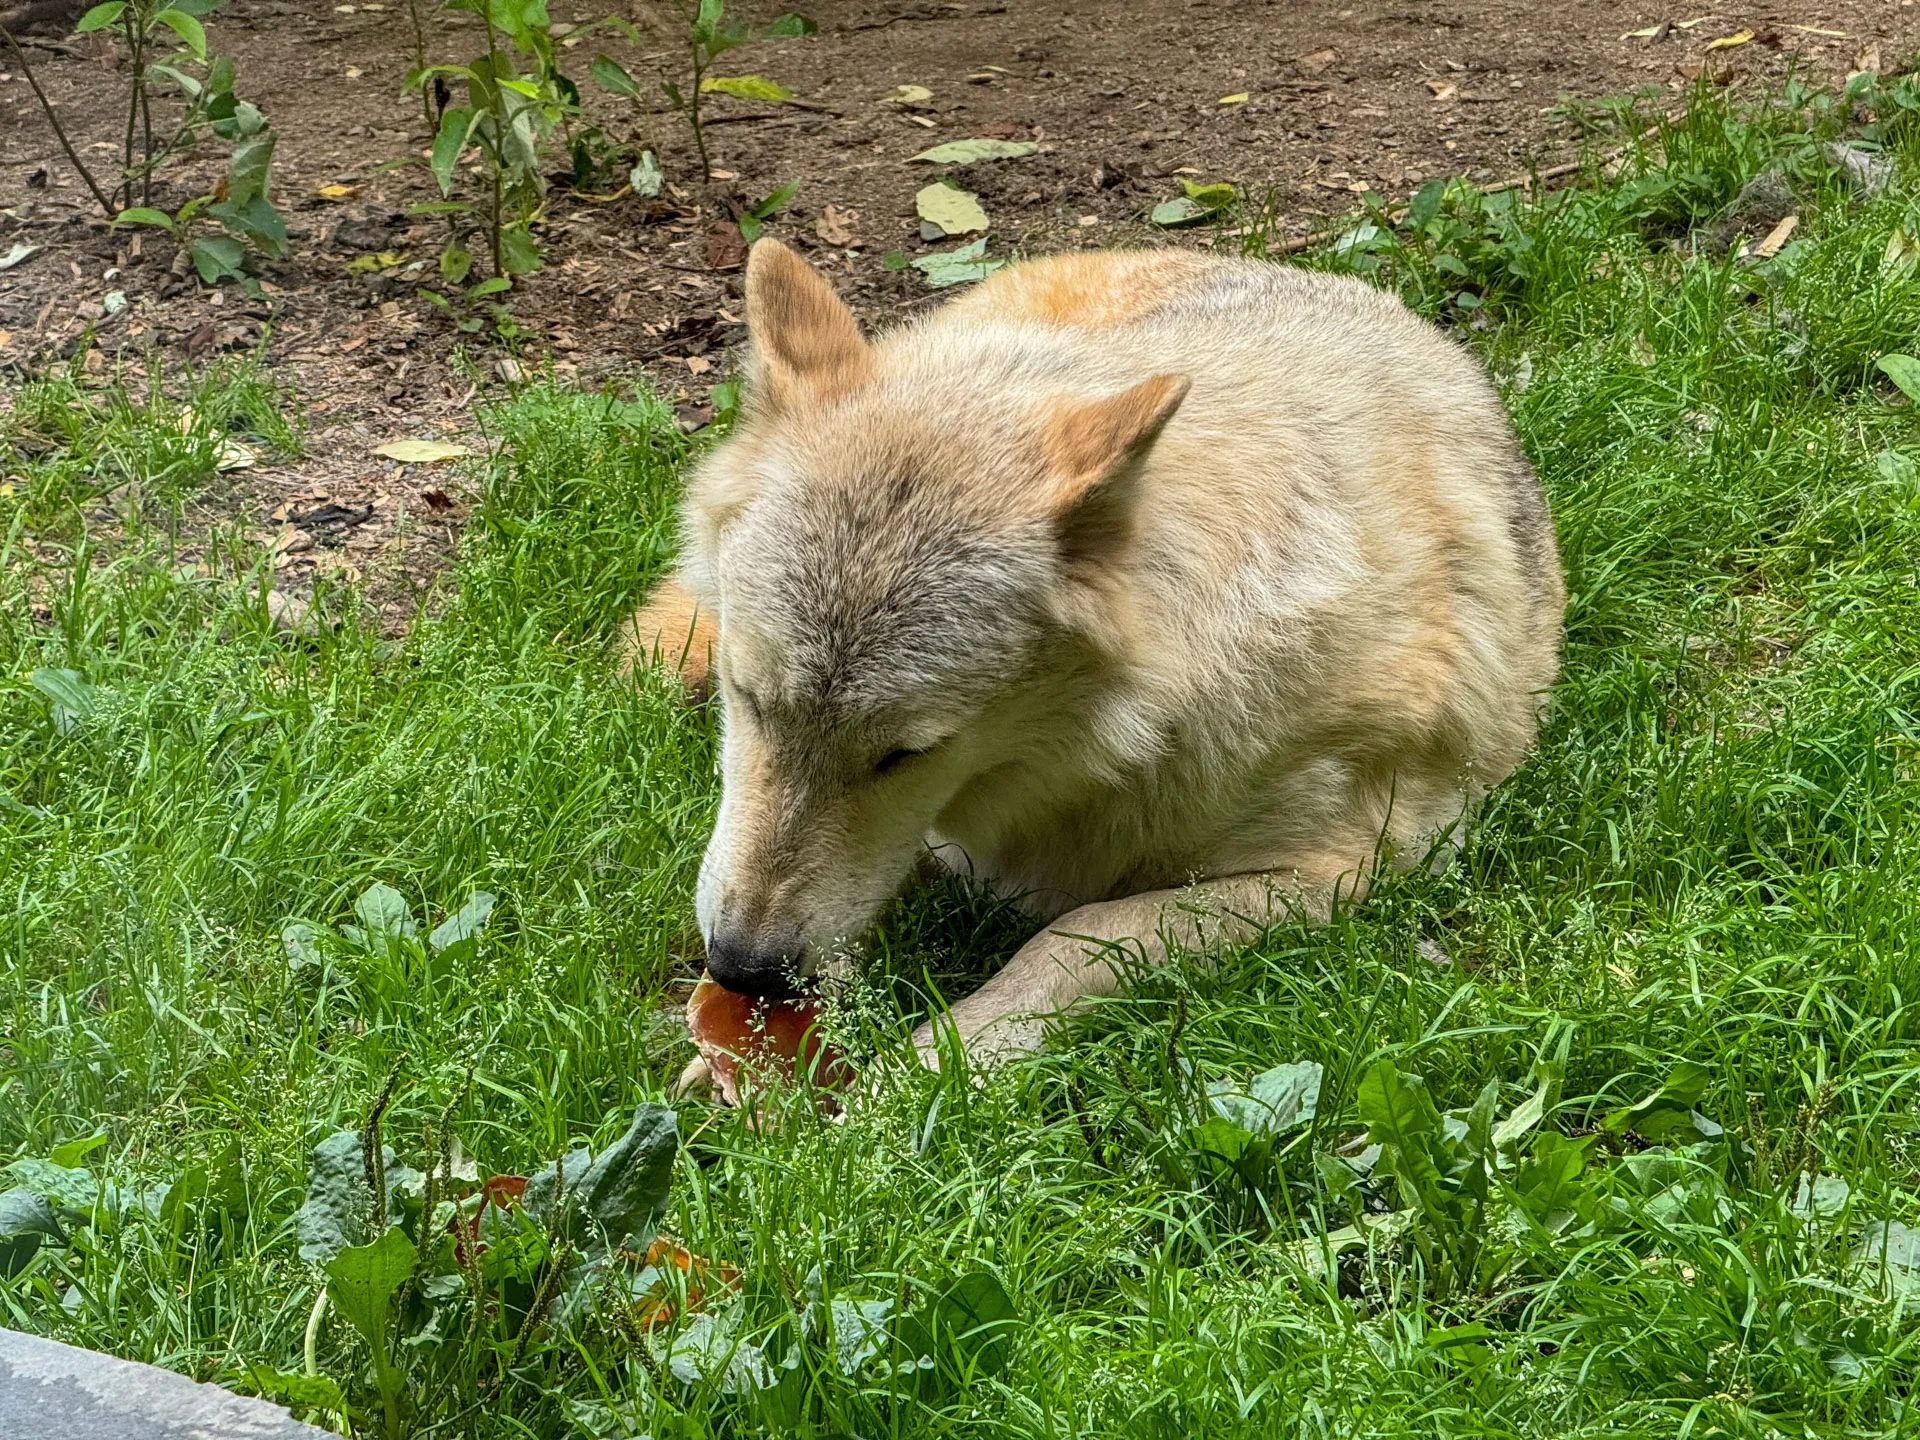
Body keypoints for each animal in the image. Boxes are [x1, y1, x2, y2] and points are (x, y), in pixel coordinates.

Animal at [624, 239, 1564, 1085]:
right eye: (749, 698)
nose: (744, 966)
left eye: (906, 753)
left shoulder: (1348, 871)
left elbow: (1077, 942)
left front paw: (925, 1073)